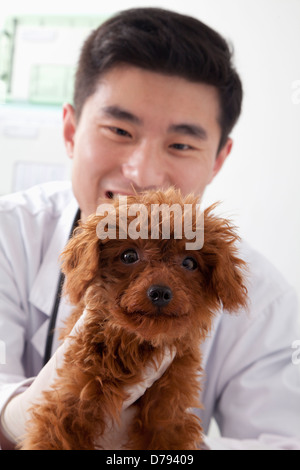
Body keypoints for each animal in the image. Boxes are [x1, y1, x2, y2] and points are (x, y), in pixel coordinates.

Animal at [19, 189, 247, 450]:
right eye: (129, 255)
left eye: (189, 263)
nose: (160, 292)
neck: (136, 345)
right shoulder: (70, 400)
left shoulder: (168, 415)